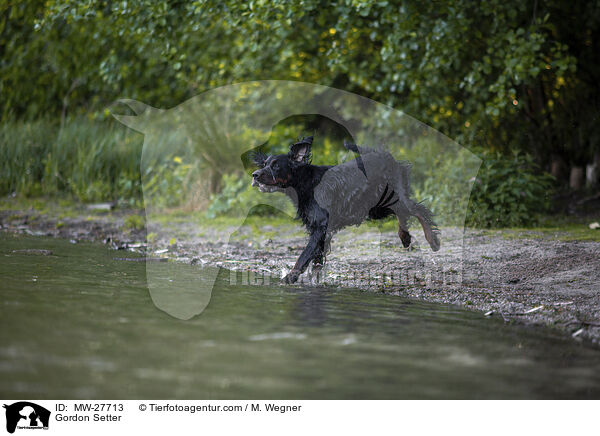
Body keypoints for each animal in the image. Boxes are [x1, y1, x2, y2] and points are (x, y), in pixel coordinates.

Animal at [250, 138, 440, 284]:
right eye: (265, 164)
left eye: (276, 166)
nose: (255, 175)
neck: (306, 183)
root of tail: (385, 156)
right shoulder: (318, 229)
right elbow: (316, 260)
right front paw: (314, 281)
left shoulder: (321, 226)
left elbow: (304, 255)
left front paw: (290, 277)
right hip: (377, 208)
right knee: (404, 214)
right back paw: (405, 238)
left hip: (391, 198)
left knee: (418, 210)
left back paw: (432, 240)